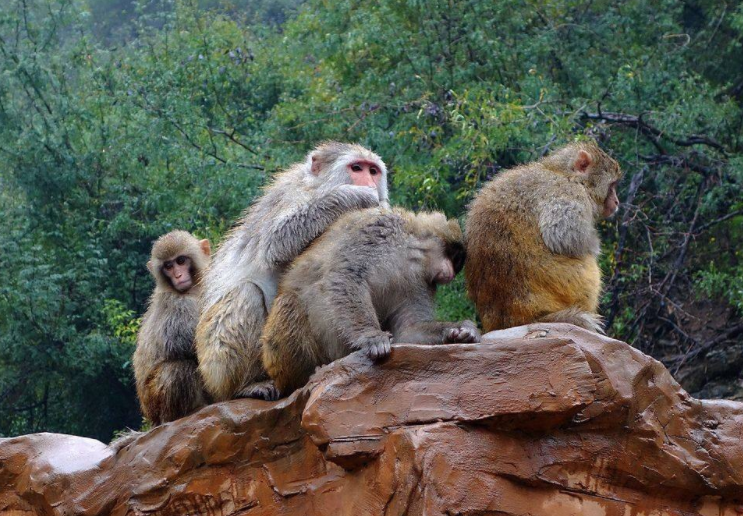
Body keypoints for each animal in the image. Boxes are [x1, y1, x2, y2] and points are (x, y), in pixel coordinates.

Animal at [134, 232, 212, 426]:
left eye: (181, 260)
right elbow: (184, 344)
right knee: (179, 368)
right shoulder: (175, 303)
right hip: (154, 400)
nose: (177, 275)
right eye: (168, 266)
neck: (193, 289)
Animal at [195, 142, 392, 404]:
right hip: (213, 364)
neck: (318, 187)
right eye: (357, 168)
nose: (369, 182)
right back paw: (246, 386)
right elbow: (276, 242)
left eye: (373, 171)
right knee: (246, 292)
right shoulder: (290, 193)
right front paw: (354, 196)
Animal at [262, 208, 482, 398]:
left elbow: (409, 329)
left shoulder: (421, 281)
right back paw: (305, 377)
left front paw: (459, 329)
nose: (452, 274)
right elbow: (346, 277)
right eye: (455, 258)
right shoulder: (376, 230)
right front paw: (372, 336)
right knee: (289, 302)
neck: (410, 253)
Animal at [464, 141, 620, 334]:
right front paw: (592, 244)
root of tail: (513, 320)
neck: (562, 172)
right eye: (612, 186)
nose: (617, 201)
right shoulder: (568, 193)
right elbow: (565, 236)